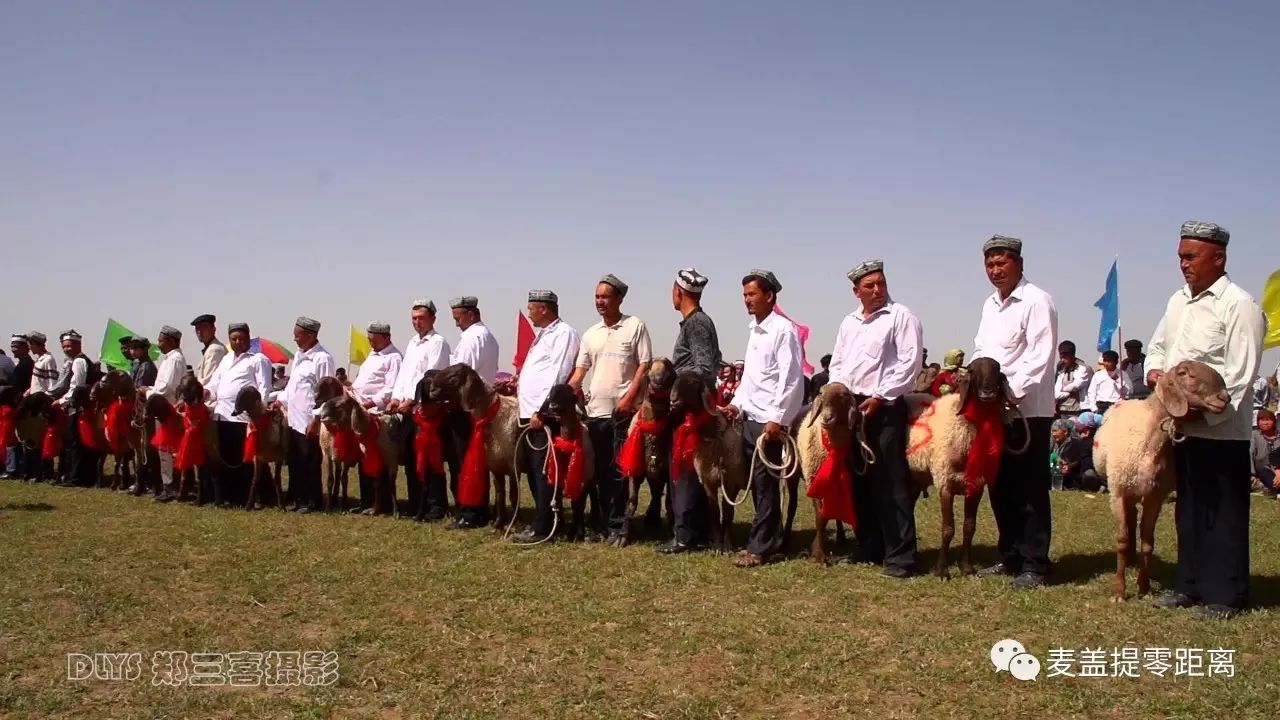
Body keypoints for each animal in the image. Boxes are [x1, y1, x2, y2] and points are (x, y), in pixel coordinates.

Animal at [1090, 358, 1228, 599]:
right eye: (1184, 373)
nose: (1224, 398)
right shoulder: (1117, 493)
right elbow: (1121, 541)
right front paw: (1119, 591)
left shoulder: (1156, 496)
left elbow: (1148, 543)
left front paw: (1144, 587)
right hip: (1125, 487)